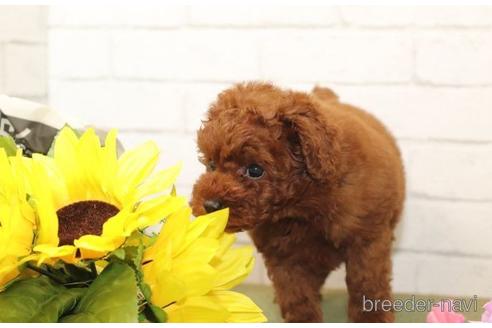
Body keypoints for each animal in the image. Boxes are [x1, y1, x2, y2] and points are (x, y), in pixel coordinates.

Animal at [190, 82, 406, 322]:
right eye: (211, 164)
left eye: (255, 170)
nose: (210, 205)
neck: (303, 206)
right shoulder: (284, 257)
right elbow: (297, 295)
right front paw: (303, 318)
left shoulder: (368, 242)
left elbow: (366, 286)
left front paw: (372, 318)